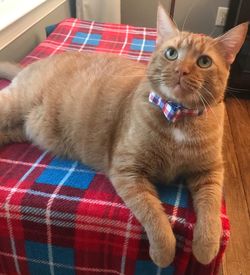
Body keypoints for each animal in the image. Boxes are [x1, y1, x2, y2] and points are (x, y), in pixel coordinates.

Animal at [0, 4, 247, 268]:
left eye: (204, 61)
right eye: (171, 54)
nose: (181, 70)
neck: (178, 116)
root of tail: (33, 65)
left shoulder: (210, 172)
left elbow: (211, 210)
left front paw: (206, 246)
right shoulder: (128, 171)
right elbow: (153, 214)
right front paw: (164, 251)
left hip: (21, 129)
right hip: (13, 105)